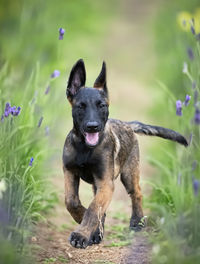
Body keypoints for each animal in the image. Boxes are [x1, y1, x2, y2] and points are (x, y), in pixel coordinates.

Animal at [62, 58, 188, 249]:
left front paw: (82, 233)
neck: (85, 148)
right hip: (99, 183)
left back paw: (137, 222)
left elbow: (93, 209)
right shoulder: (70, 172)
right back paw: (98, 232)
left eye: (102, 105)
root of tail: (128, 124)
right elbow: (72, 201)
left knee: (137, 193)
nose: (93, 127)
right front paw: (85, 223)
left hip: (129, 173)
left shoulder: (106, 183)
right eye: (81, 107)